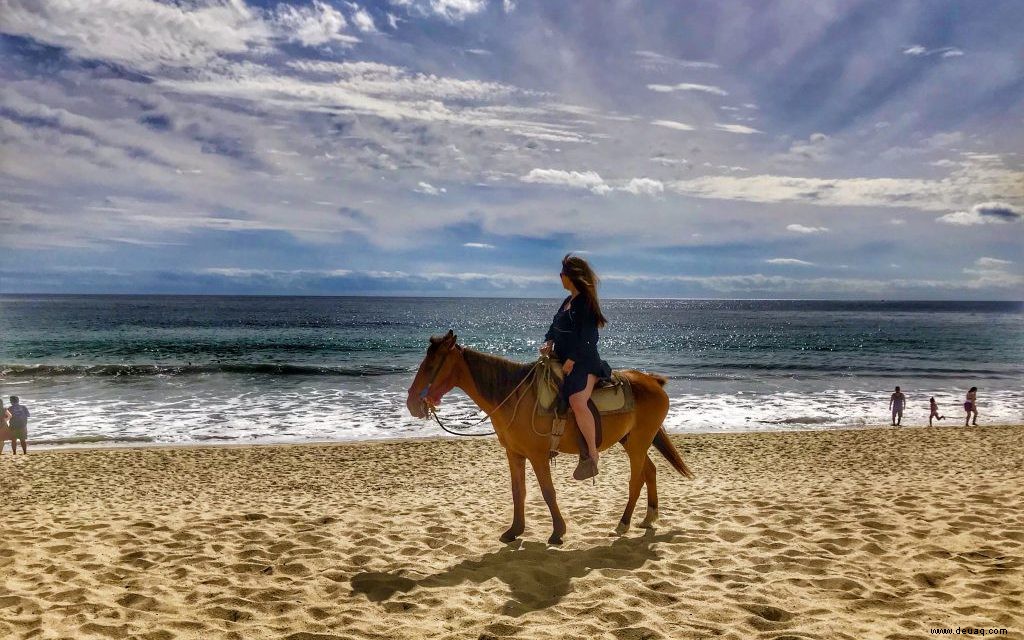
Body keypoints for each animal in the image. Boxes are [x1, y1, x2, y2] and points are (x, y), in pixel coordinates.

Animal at [407, 329, 696, 544]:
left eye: (431, 365)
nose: (411, 403)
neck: (512, 396)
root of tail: (654, 382)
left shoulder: (537, 456)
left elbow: (548, 492)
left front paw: (558, 532)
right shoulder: (514, 454)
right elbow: (518, 491)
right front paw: (514, 531)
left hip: (637, 443)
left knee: (636, 480)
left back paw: (623, 523)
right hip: (632, 441)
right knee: (650, 471)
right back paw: (648, 517)